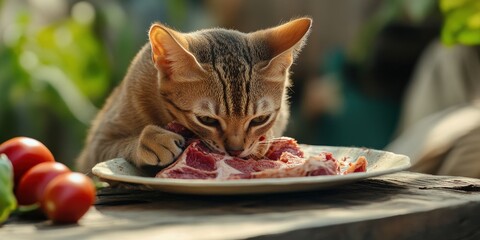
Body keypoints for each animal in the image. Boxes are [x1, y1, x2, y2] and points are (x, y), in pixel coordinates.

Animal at [76, 17, 312, 173]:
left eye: (260, 119)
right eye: (207, 119)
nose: (235, 151)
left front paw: (263, 141)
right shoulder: (96, 146)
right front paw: (150, 139)